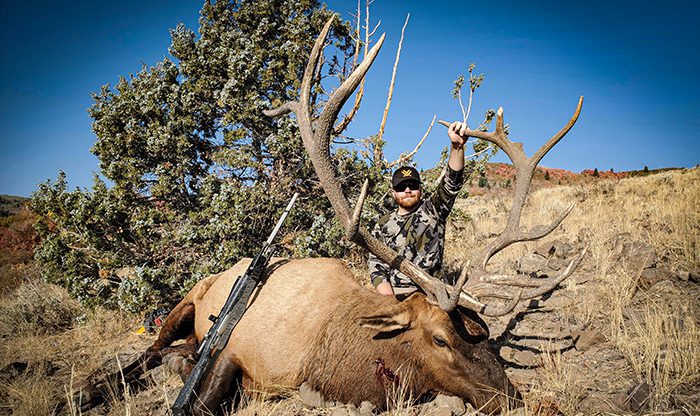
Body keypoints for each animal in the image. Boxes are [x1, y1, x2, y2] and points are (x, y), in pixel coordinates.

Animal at [73, 16, 585, 416]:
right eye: (442, 339)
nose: (516, 399)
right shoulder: (239, 350)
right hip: (187, 299)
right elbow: (199, 397)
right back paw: (87, 391)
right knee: (150, 349)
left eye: (488, 336)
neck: (329, 358)